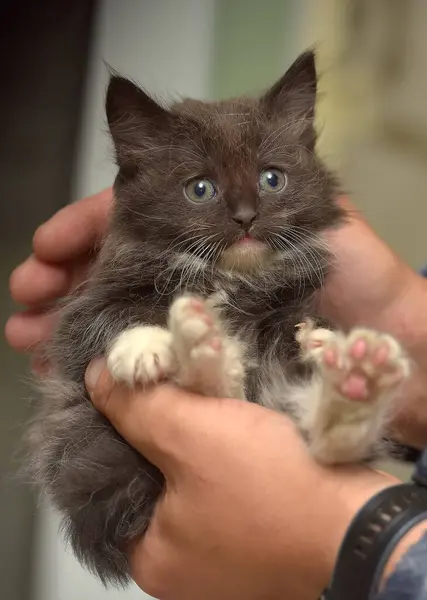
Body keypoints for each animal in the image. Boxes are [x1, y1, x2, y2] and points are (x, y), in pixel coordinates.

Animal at [27, 50, 412, 584]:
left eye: (272, 179)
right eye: (200, 189)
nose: (246, 216)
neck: (231, 280)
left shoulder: (287, 305)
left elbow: (292, 326)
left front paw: (318, 341)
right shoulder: (84, 311)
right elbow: (114, 316)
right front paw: (145, 345)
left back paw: (352, 380)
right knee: (223, 389)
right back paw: (204, 342)